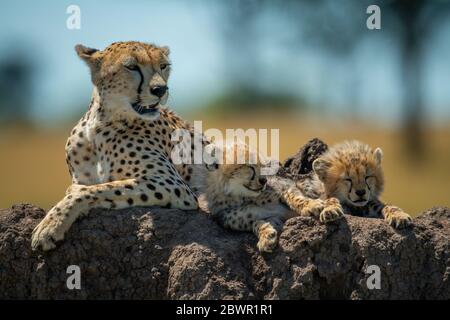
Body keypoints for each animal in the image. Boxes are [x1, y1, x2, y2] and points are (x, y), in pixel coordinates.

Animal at [32, 40, 207, 250]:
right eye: (132, 67)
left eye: (164, 66)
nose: (161, 90)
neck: (100, 125)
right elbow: (92, 187)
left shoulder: (172, 184)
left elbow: (95, 189)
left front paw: (49, 227)